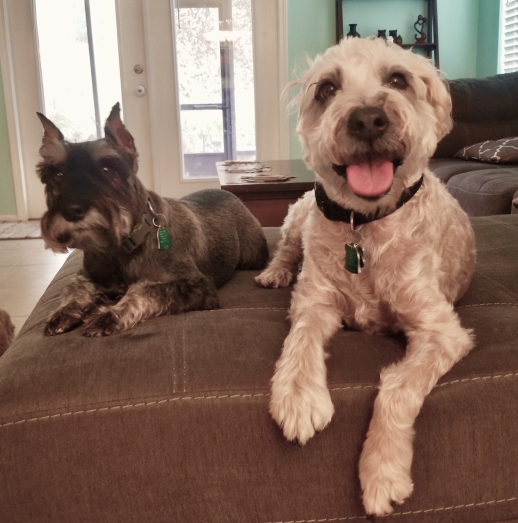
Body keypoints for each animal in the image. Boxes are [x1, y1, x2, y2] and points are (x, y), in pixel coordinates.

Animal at [38, 104, 270, 338]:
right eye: (57, 174)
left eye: (107, 169)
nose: (71, 211)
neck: (121, 247)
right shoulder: (87, 275)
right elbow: (74, 288)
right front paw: (62, 312)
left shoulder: (196, 287)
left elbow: (144, 291)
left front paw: (108, 314)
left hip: (252, 257)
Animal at [258, 39, 478, 516]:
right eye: (326, 88)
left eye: (398, 79)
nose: (367, 119)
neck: (365, 224)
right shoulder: (314, 300)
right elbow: (301, 337)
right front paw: (298, 396)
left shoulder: (440, 330)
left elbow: (396, 387)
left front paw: (382, 470)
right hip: (299, 214)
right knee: (285, 247)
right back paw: (274, 272)